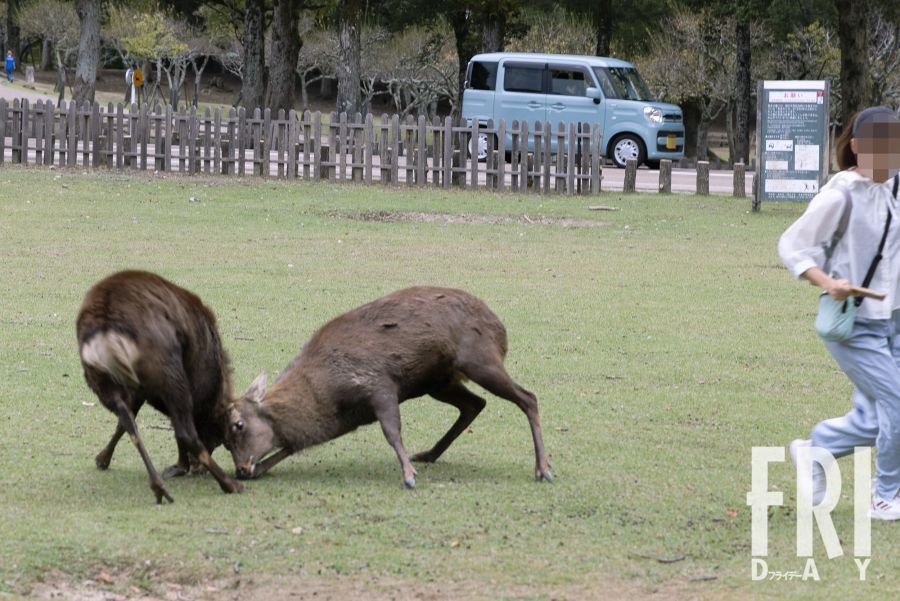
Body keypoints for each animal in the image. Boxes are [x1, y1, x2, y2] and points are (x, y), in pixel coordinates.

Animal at [76, 270, 243, 502]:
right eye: (223, 436)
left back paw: (158, 486)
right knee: (185, 431)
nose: (196, 468)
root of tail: (106, 326)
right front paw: (181, 466)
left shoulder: (140, 391)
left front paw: (101, 459)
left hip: (101, 380)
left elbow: (123, 423)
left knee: (128, 420)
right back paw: (230, 485)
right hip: (169, 372)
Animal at [225, 286, 552, 488]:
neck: (327, 392)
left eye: (238, 425)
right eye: (225, 443)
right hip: (439, 382)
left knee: (528, 397)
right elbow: (292, 445)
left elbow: (392, 431)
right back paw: (429, 454)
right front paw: (259, 469)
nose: (241, 469)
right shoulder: (345, 419)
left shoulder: (378, 384)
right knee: (475, 403)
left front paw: (408, 475)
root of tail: (500, 327)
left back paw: (543, 468)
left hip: (480, 360)